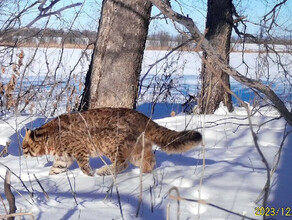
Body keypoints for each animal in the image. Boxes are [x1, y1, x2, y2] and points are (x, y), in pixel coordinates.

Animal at [22, 107, 201, 176]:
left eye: (24, 147)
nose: (23, 154)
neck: (50, 136)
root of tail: (142, 116)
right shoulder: (63, 158)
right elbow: (55, 169)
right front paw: (48, 179)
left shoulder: (79, 150)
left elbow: (83, 166)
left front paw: (90, 176)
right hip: (137, 149)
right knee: (149, 161)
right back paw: (144, 175)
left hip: (111, 145)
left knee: (122, 164)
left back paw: (104, 171)